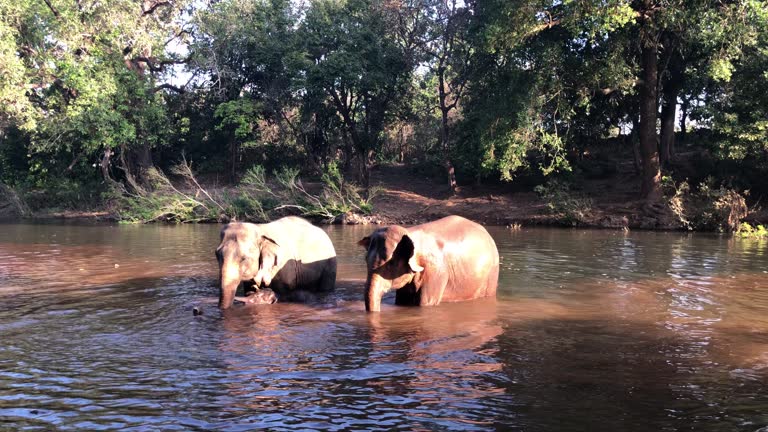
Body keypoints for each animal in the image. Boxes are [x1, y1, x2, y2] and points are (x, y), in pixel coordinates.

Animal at [358, 215, 498, 310]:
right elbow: (402, 300)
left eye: (390, 264)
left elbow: (427, 303)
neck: (409, 233)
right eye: (365, 260)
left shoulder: (436, 272)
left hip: (491, 274)